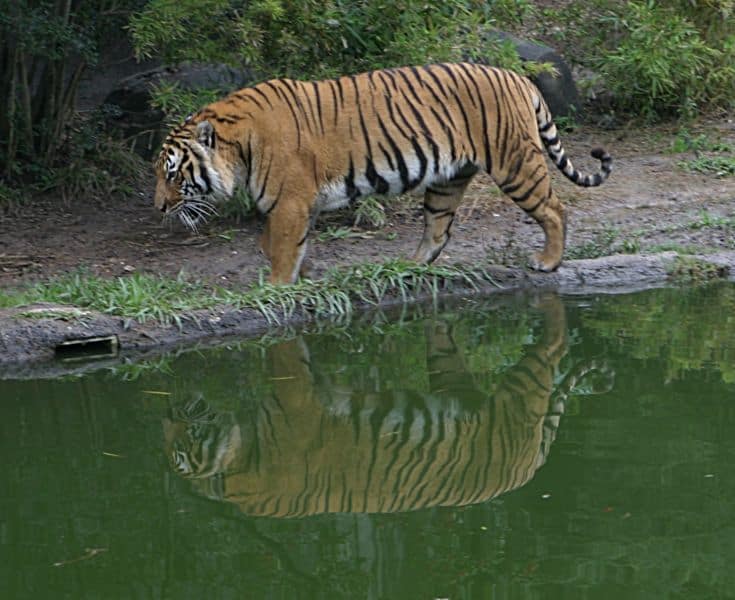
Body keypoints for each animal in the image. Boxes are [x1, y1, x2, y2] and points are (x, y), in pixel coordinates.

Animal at [155, 62, 616, 284]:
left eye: (173, 174)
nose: (159, 207)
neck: (238, 146)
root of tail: (520, 78)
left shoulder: (290, 202)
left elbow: (281, 247)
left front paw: (278, 285)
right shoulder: (300, 204)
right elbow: (276, 243)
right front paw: (306, 275)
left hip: (515, 163)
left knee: (554, 210)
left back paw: (548, 262)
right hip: (447, 180)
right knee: (438, 229)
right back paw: (410, 268)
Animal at [165, 298, 616, 516]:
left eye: (183, 449)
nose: (170, 414)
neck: (241, 452)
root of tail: (528, 470)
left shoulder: (299, 403)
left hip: (519, 397)